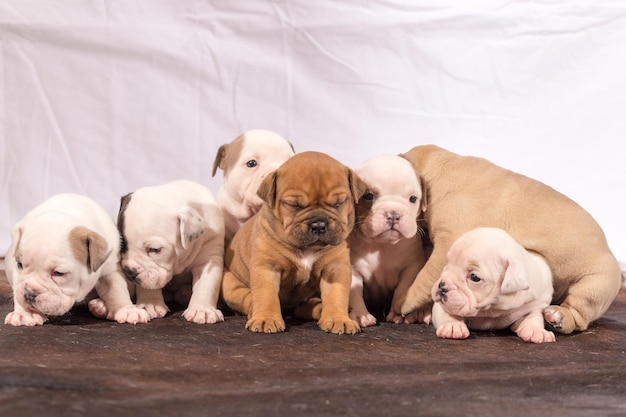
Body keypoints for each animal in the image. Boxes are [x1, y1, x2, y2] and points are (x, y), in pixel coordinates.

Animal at [5, 193, 149, 326]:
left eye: (58, 273)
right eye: (19, 264)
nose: (30, 293)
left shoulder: (110, 270)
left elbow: (116, 289)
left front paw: (128, 309)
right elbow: (19, 284)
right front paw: (25, 313)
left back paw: (101, 306)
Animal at [117, 178, 224, 322]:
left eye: (155, 249)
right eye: (122, 245)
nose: (130, 272)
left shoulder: (209, 258)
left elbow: (206, 285)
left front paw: (202, 309)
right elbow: (148, 284)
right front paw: (150, 303)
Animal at [221, 151, 366, 334]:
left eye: (338, 203)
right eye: (294, 205)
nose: (319, 225)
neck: (306, 249)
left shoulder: (335, 268)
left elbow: (336, 295)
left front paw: (338, 319)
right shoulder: (267, 267)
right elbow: (266, 295)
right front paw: (266, 318)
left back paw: (319, 308)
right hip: (230, 284)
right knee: (248, 298)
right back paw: (254, 311)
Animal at [348, 154, 426, 326]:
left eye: (413, 198)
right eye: (368, 196)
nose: (393, 214)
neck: (382, 245)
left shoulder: (411, 267)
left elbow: (403, 289)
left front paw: (399, 314)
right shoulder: (353, 269)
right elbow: (354, 294)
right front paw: (361, 315)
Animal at [394, 145, 620, 334]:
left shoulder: (447, 243)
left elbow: (423, 278)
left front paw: (403, 301)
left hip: (594, 285)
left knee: (579, 315)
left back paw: (558, 317)